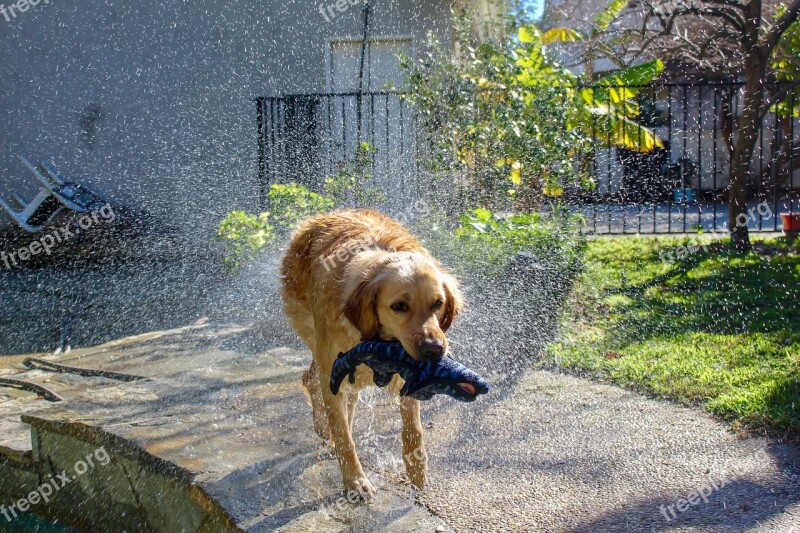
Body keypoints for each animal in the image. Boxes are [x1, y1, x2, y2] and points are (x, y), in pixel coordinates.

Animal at [278, 209, 462, 498]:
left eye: (437, 303)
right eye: (399, 306)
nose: (434, 349)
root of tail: (318, 218)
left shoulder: (407, 374)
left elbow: (414, 428)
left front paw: (417, 472)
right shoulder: (333, 372)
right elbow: (344, 437)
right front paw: (355, 481)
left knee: (343, 397)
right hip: (314, 337)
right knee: (312, 381)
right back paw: (323, 426)